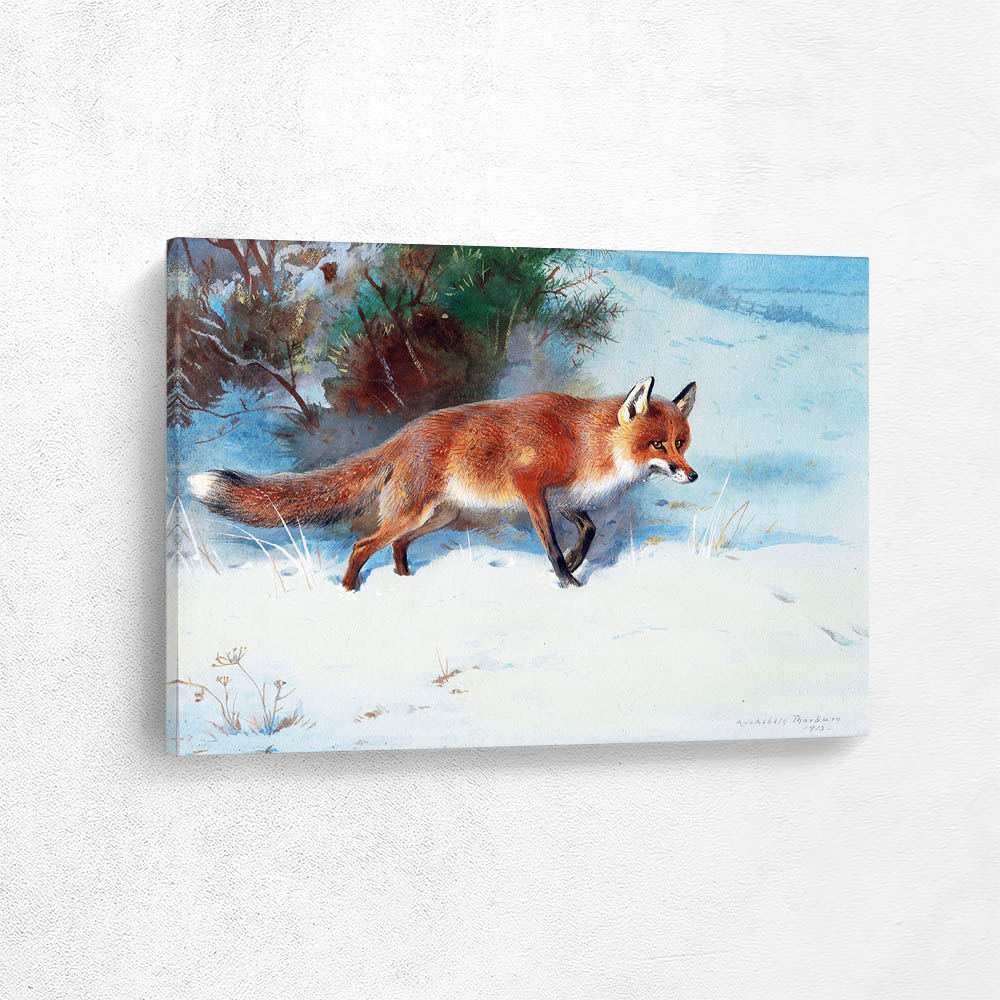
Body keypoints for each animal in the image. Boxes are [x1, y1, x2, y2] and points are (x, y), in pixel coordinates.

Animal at [189, 376, 697, 591]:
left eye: (681, 442)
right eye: (657, 444)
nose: (692, 474)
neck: (585, 442)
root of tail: (403, 435)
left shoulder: (563, 498)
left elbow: (588, 530)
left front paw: (576, 562)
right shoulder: (531, 486)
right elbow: (551, 544)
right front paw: (567, 579)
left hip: (438, 516)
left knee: (395, 546)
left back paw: (406, 582)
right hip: (414, 514)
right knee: (362, 544)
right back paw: (350, 591)